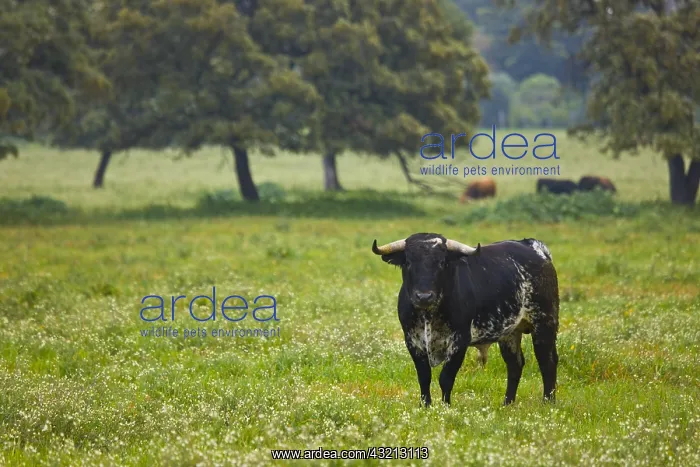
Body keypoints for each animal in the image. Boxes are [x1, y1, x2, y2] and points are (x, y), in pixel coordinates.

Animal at [372, 233, 559, 407]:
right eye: (408, 262)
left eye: (442, 262)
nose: (424, 296)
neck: (429, 314)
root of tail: (533, 246)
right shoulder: (412, 341)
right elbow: (424, 377)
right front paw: (425, 406)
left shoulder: (459, 341)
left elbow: (446, 378)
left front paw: (445, 407)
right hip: (510, 332)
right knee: (515, 364)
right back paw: (507, 403)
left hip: (545, 323)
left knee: (547, 361)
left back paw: (548, 402)